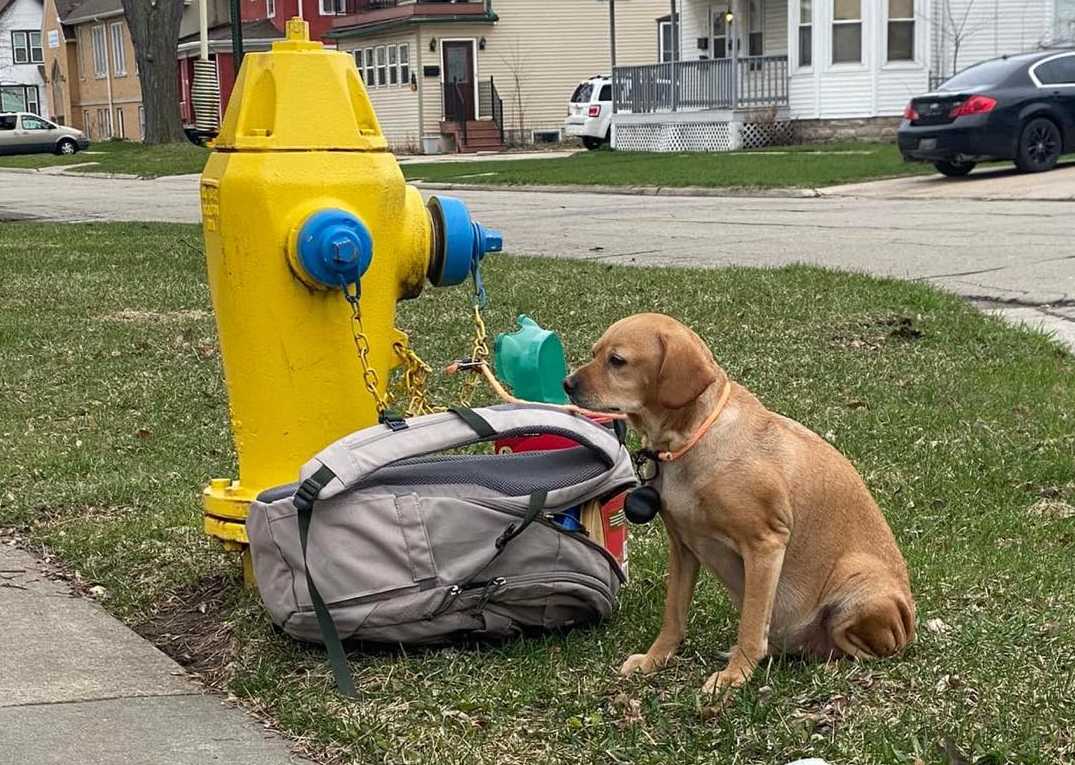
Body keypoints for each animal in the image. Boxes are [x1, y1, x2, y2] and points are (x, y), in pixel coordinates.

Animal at [563, 311, 915, 691]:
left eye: (617, 361)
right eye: (595, 352)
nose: (567, 384)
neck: (690, 439)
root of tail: (909, 625)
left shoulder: (765, 544)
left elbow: (751, 623)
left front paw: (735, 676)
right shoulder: (682, 547)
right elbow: (674, 615)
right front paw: (655, 659)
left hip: (858, 590)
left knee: (865, 652)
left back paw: (829, 667)